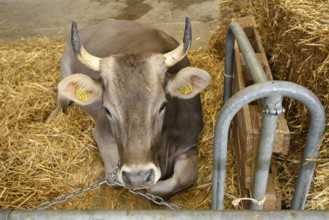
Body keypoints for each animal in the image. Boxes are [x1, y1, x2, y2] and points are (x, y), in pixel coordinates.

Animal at [48, 18, 210, 198]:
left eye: (163, 105)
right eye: (107, 110)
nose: (137, 177)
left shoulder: (189, 143)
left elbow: (184, 179)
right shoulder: (102, 134)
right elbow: (115, 180)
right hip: (64, 69)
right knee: (61, 101)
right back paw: (51, 119)